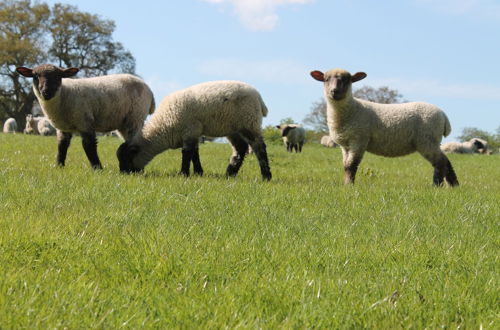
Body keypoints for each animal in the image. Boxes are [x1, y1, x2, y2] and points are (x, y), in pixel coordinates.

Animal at [16, 63, 153, 169]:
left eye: (58, 76)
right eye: (35, 76)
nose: (46, 92)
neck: (64, 94)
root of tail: (149, 90)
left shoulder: (85, 121)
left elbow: (89, 146)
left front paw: (97, 168)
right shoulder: (63, 128)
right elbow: (62, 146)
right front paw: (59, 166)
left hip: (135, 117)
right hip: (124, 123)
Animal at [116, 81, 272, 182]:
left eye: (127, 158)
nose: (124, 174)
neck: (164, 125)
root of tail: (259, 98)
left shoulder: (190, 130)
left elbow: (186, 154)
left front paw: (183, 174)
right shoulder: (193, 132)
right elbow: (194, 154)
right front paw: (198, 173)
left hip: (249, 122)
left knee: (259, 147)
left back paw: (266, 176)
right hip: (233, 128)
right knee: (240, 148)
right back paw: (229, 174)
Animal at [310, 67, 458, 186]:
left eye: (347, 80)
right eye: (326, 79)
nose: (334, 91)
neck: (352, 109)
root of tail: (443, 115)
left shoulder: (358, 140)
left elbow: (352, 165)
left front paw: (349, 186)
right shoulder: (345, 145)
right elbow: (345, 165)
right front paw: (346, 184)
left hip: (427, 139)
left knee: (440, 163)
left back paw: (438, 185)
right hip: (431, 141)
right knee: (445, 162)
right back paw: (453, 185)